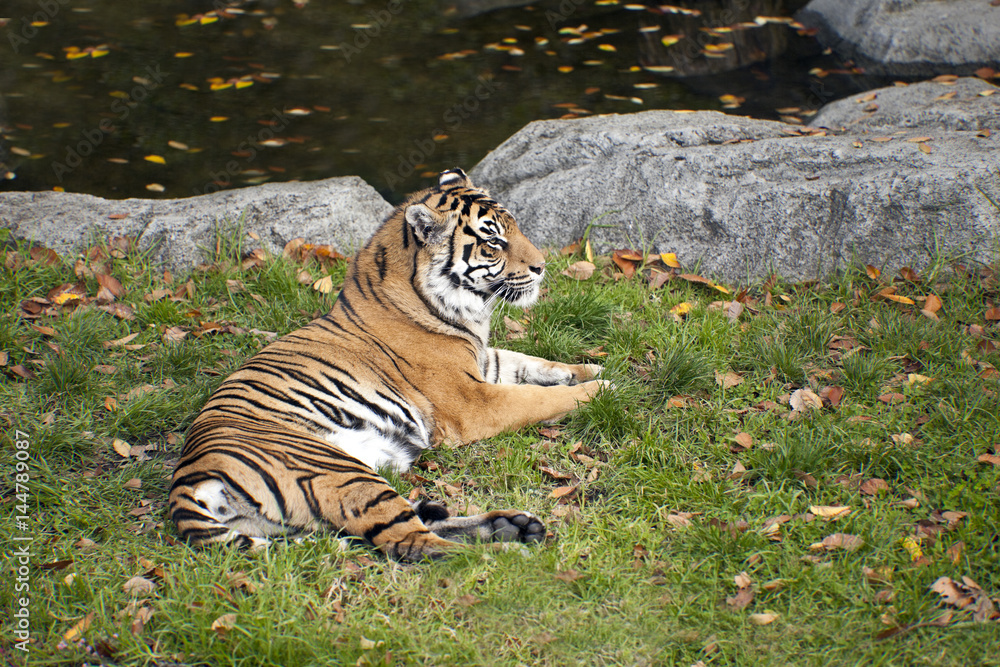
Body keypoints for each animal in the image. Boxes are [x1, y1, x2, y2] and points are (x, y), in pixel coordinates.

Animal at [170, 170, 608, 560]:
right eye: (493, 241)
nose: (542, 266)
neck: (464, 312)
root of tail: (187, 482)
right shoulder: (473, 402)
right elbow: (535, 397)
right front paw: (602, 390)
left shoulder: (485, 362)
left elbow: (534, 364)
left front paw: (591, 369)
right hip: (337, 471)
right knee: (412, 543)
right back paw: (503, 553)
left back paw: (511, 526)